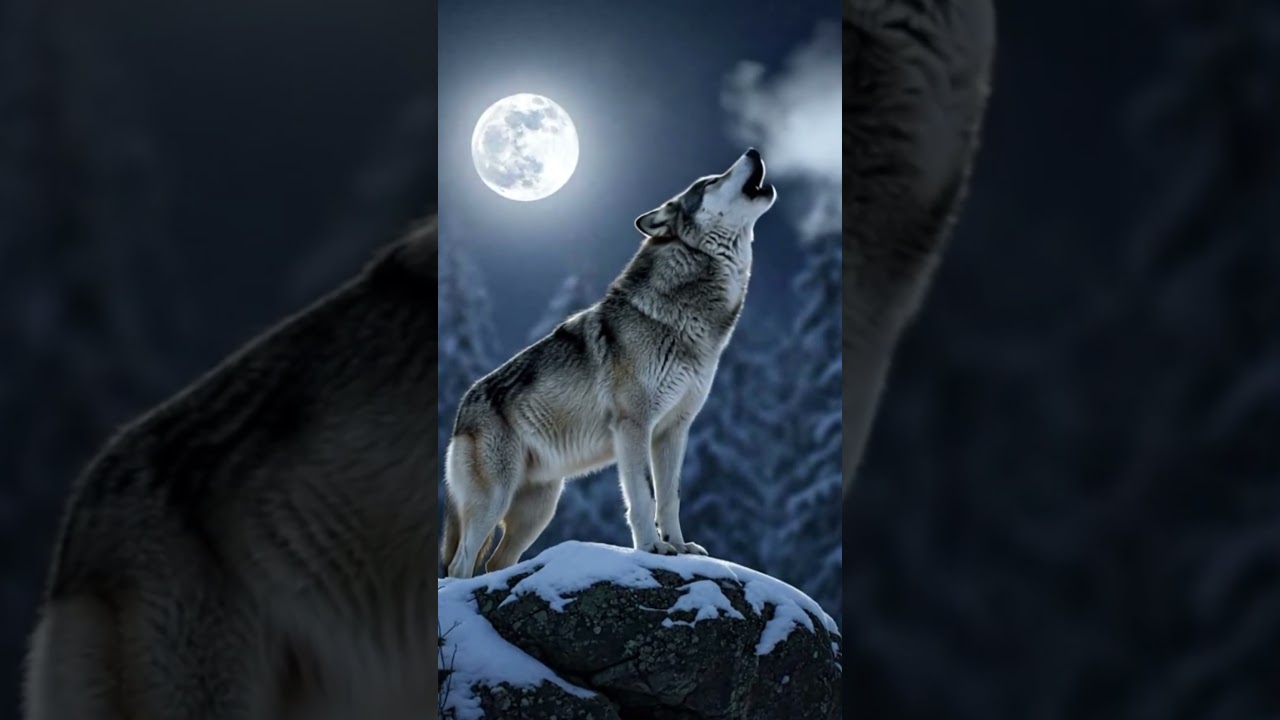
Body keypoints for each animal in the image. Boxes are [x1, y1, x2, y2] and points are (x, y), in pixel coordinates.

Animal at [441, 149, 777, 580]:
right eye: (710, 182)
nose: (753, 152)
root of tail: (461, 409)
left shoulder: (674, 430)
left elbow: (670, 497)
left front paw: (679, 546)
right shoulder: (634, 425)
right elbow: (643, 497)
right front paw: (651, 548)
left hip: (538, 510)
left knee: (494, 564)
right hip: (494, 501)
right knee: (460, 566)